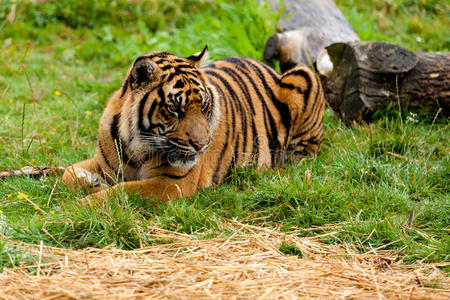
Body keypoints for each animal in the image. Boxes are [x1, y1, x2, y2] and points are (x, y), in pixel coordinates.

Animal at [62, 45, 324, 203]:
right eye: (174, 109)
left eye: (205, 106)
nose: (202, 145)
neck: (136, 146)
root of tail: (266, 66)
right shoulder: (103, 164)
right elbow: (68, 173)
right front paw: (93, 185)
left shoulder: (172, 183)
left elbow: (124, 190)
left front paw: (82, 206)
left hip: (303, 76)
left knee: (301, 160)